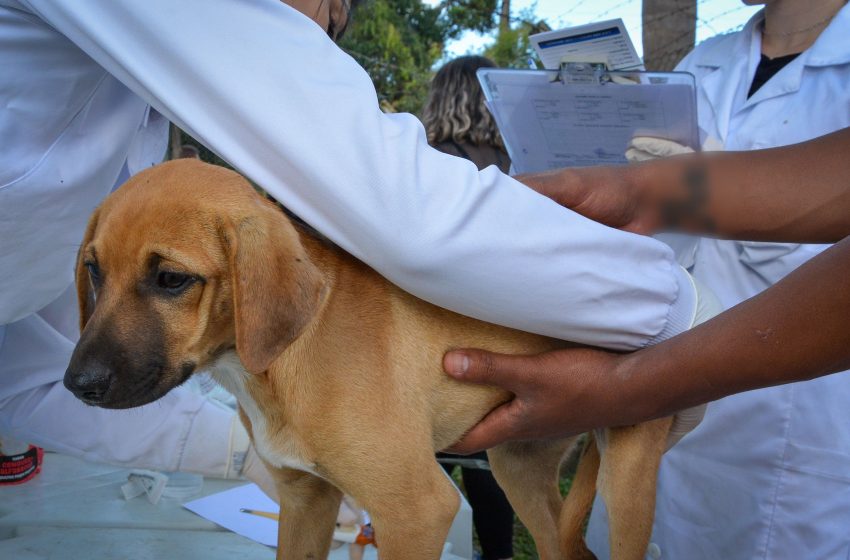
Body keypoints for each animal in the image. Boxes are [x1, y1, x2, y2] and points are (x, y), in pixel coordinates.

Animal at [64, 160, 676, 556]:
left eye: (171, 279)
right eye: (93, 270)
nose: (77, 386)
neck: (278, 365)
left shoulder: (419, 510)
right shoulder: (305, 499)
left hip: (626, 482)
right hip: (518, 466)